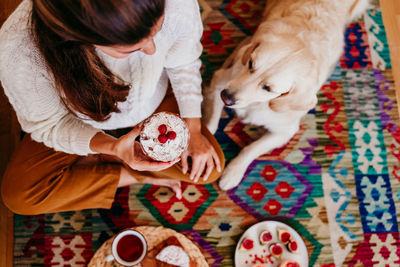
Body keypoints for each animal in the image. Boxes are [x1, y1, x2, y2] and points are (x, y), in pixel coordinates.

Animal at [205, 0, 370, 191]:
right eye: (251, 64)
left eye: (268, 88)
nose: (226, 97)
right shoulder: (221, 81)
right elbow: (210, 123)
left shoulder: (286, 131)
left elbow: (252, 148)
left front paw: (233, 171)